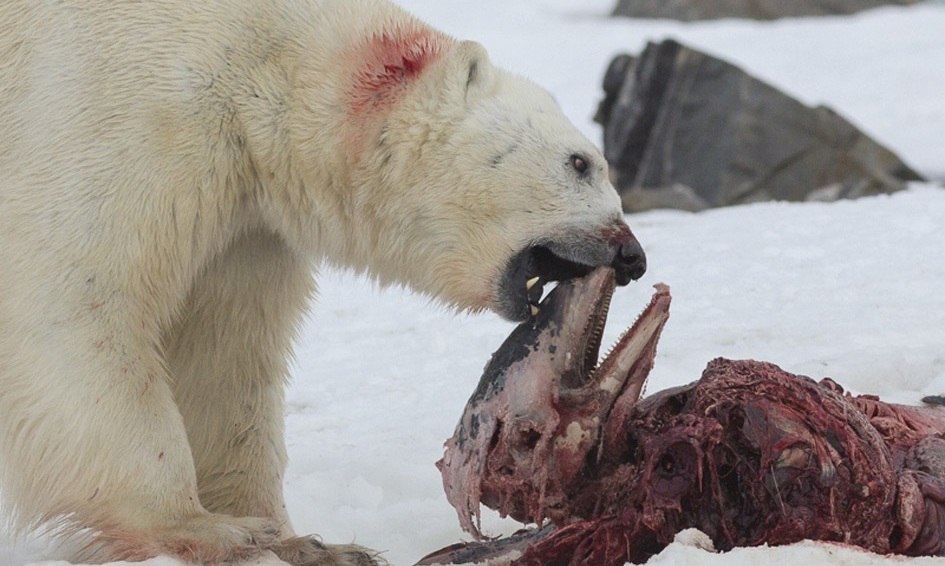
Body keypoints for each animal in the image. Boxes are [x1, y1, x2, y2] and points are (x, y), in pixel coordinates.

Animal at [0, 0, 640, 564]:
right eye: (580, 162)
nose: (633, 255)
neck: (260, 60)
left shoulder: (245, 222)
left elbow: (222, 353)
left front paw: (306, 542)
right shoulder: (116, 110)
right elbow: (78, 299)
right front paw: (206, 529)